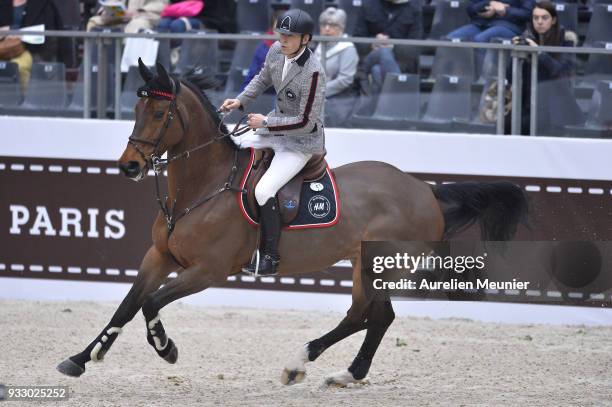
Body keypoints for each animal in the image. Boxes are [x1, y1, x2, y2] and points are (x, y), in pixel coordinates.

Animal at [56, 61, 524, 388]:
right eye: (137, 108)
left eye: (158, 113)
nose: (129, 166)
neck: (200, 189)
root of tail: (424, 189)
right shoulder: (159, 255)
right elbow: (128, 303)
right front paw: (80, 359)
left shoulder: (208, 271)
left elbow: (152, 304)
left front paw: (165, 348)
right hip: (363, 264)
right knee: (364, 315)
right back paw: (315, 367)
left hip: (381, 266)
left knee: (377, 316)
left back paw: (329, 368)